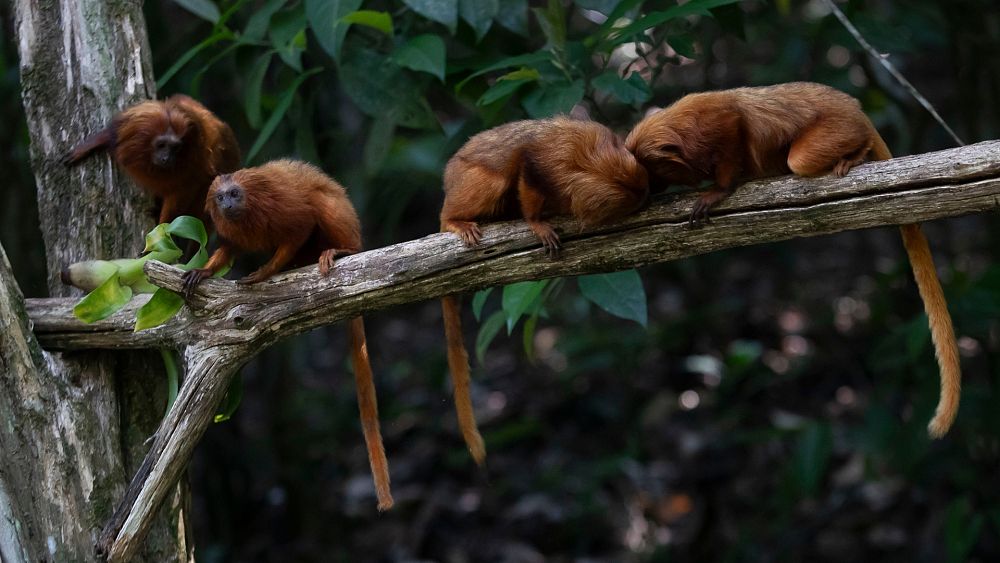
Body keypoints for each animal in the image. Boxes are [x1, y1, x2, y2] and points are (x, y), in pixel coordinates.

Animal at [64, 93, 240, 226]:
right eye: (161, 145)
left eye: (175, 148)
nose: (167, 158)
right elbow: (114, 135)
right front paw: (92, 143)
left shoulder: (193, 165)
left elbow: (180, 195)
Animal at [182, 159, 392, 512]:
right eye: (221, 197)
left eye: (234, 194)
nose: (227, 205)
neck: (248, 211)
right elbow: (229, 248)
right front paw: (205, 270)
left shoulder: (281, 208)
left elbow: (300, 224)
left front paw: (265, 272)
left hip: (347, 226)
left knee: (322, 203)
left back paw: (342, 250)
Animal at [442, 117, 652, 464]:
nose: (646, 195)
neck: (587, 160)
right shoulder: (545, 164)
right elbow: (525, 170)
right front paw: (536, 223)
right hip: (464, 182)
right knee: (492, 181)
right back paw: (453, 221)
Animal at [624, 81, 960, 438]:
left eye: (651, 170)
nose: (648, 188)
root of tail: (854, 109)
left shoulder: (714, 122)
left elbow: (735, 124)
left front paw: (719, 190)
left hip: (837, 126)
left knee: (801, 159)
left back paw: (858, 151)